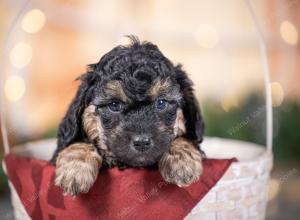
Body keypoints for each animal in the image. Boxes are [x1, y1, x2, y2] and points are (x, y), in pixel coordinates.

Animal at [52, 36, 206, 196]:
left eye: (161, 103)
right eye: (114, 105)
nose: (142, 142)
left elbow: (184, 140)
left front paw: (182, 163)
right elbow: (79, 143)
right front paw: (75, 169)